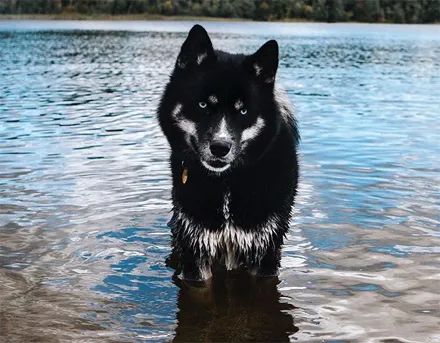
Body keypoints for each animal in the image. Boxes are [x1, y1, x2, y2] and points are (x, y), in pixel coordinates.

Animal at [158, 24, 300, 282]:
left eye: (243, 111)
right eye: (203, 104)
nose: (220, 147)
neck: (226, 182)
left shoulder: (265, 248)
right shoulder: (195, 247)